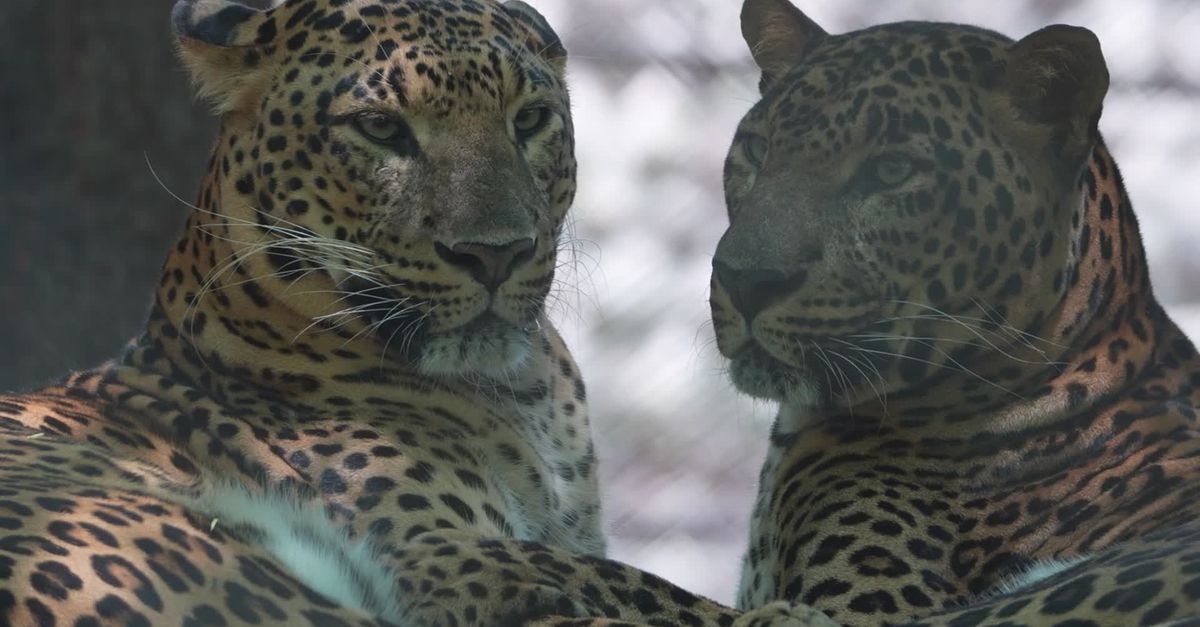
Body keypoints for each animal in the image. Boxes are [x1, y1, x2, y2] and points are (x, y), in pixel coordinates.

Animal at [0, 1, 816, 625]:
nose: (494, 254)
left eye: (530, 119)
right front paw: (783, 612)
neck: (525, 394)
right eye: (382, 129)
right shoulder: (448, 557)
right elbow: (648, 588)